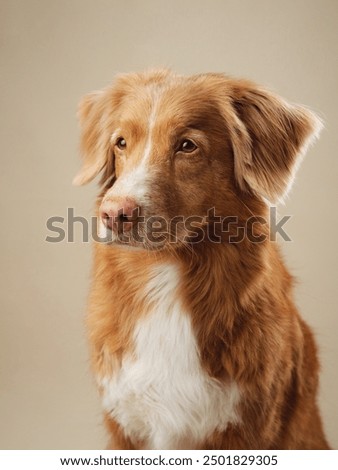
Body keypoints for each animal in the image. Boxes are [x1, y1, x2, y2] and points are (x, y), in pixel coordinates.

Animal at [74, 69, 330, 448]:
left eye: (187, 146)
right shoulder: (125, 421)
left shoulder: (249, 426)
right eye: (120, 143)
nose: (114, 214)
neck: (166, 277)